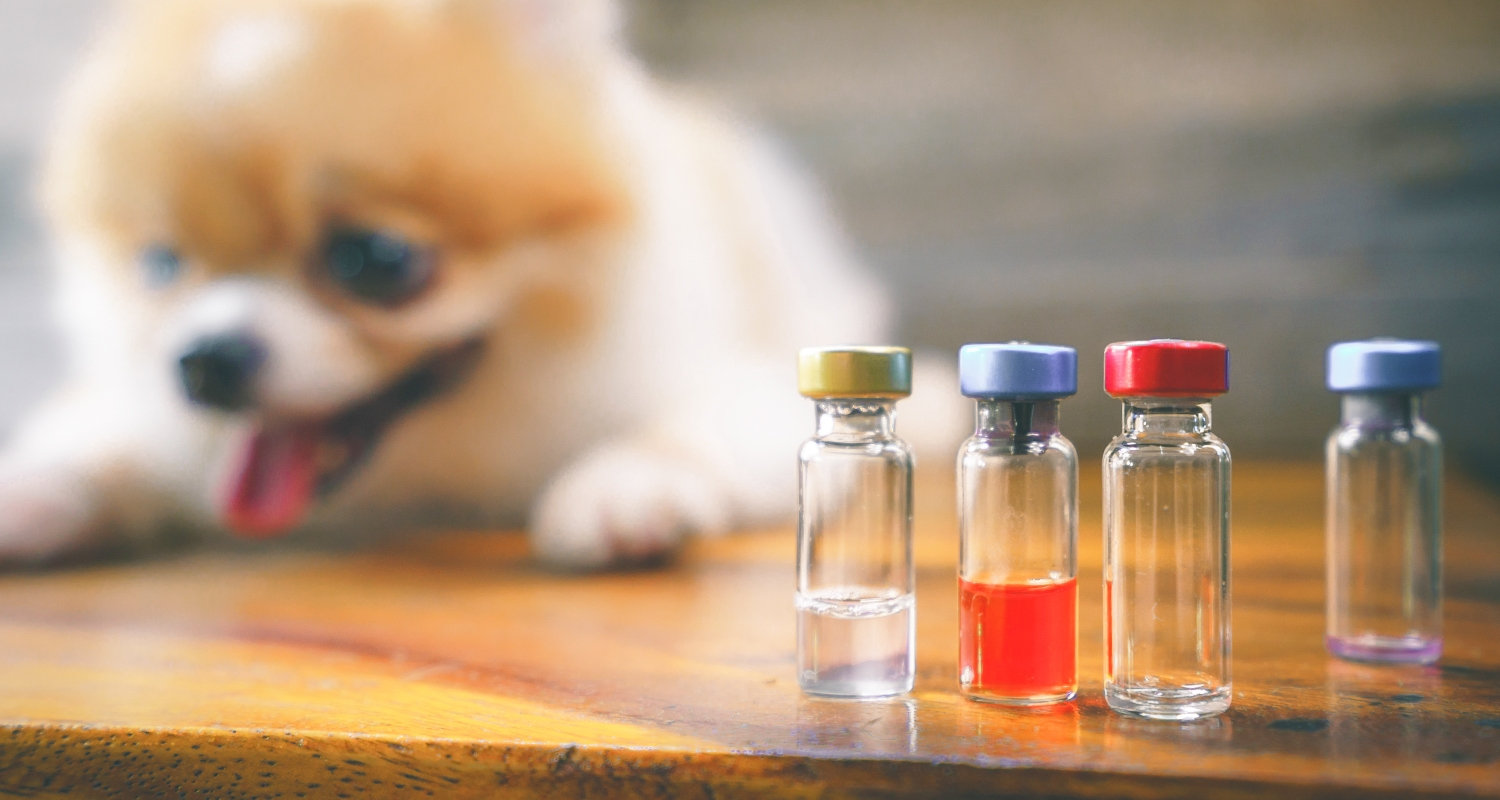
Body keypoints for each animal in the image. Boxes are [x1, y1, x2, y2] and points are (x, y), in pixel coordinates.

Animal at [0, 0, 948, 567]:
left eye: (376, 261)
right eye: (159, 265)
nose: (204, 359)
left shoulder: (729, 381)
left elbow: (688, 428)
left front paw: (621, 488)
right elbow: (95, 441)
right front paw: (30, 495)